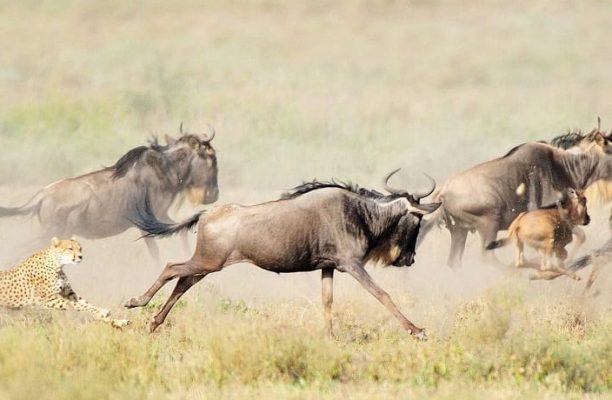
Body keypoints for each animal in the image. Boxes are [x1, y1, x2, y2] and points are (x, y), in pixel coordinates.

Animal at [0, 238, 129, 328]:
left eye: (80, 248)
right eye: (70, 248)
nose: (80, 257)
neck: (57, 264)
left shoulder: (68, 293)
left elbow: (85, 304)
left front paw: (103, 312)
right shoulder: (49, 299)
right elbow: (77, 305)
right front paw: (101, 312)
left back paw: (121, 322)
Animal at [125, 170, 440, 340]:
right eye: (417, 221)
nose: (410, 259)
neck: (362, 213)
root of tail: (206, 214)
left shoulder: (329, 267)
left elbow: (327, 302)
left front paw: (329, 337)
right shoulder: (351, 265)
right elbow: (382, 294)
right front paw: (417, 330)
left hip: (207, 264)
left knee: (183, 282)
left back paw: (153, 323)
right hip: (207, 262)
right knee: (171, 268)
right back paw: (135, 302)